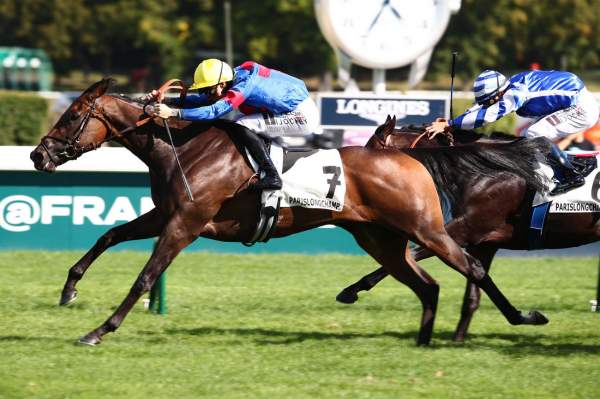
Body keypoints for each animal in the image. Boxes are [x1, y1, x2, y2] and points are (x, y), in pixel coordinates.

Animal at [30, 79, 552, 346]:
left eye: (72, 115)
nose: (38, 155)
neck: (183, 147)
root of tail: (412, 157)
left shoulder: (186, 223)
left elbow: (144, 276)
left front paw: (99, 331)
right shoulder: (166, 216)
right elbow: (108, 235)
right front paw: (70, 288)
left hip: (427, 230)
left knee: (470, 269)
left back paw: (524, 318)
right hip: (380, 239)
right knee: (429, 284)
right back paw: (422, 342)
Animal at [338, 117, 600, 342]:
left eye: (369, 155)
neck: (484, 168)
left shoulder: (467, 227)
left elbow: (410, 254)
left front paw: (351, 290)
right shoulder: (486, 242)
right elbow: (473, 293)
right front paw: (458, 339)